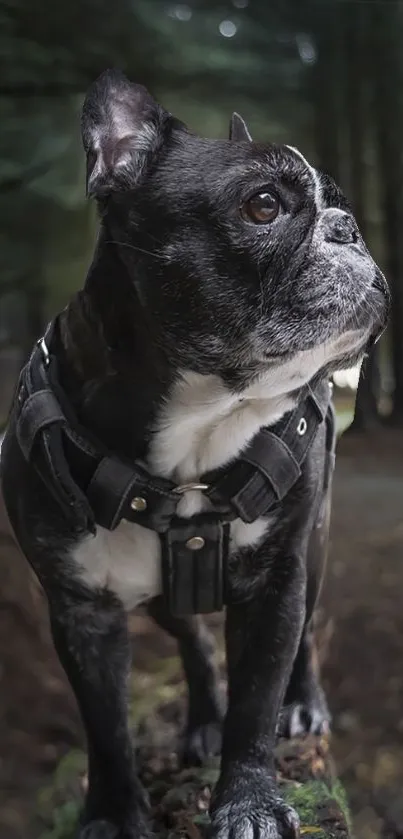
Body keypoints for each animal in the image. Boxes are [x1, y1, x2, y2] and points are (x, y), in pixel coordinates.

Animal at [0, 72, 392, 839]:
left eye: (340, 207)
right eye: (263, 205)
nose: (349, 227)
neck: (199, 429)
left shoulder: (276, 582)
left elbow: (257, 703)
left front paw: (249, 801)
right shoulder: (80, 610)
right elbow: (106, 725)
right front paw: (113, 813)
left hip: (315, 541)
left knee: (303, 636)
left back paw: (303, 704)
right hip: (155, 596)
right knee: (194, 642)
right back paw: (203, 719)